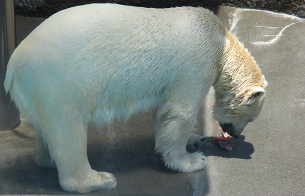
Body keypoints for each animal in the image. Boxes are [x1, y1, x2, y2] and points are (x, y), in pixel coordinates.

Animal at [4, 3, 266, 193]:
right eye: (251, 119)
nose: (235, 134)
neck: (221, 42)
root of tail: (14, 64)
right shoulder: (197, 62)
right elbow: (181, 112)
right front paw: (192, 160)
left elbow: (163, 111)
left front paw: (195, 139)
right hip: (60, 81)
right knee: (68, 131)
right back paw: (99, 179)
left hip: (38, 89)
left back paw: (48, 160)